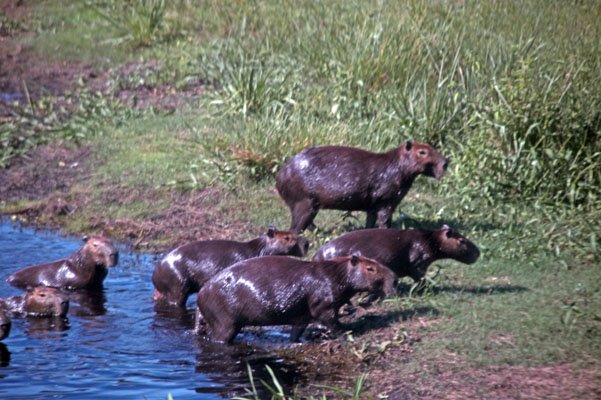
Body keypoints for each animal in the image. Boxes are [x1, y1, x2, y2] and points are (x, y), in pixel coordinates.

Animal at [195, 254, 397, 343]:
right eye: (370, 268)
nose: (393, 278)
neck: (332, 274)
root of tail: (199, 298)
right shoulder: (323, 299)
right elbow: (327, 317)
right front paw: (348, 330)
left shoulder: (302, 316)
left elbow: (298, 329)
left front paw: (297, 341)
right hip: (224, 322)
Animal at [276, 141, 449, 232]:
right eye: (422, 152)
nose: (445, 162)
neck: (392, 166)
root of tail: (279, 178)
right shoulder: (386, 198)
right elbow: (385, 218)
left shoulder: (373, 203)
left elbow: (371, 219)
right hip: (304, 201)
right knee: (295, 226)